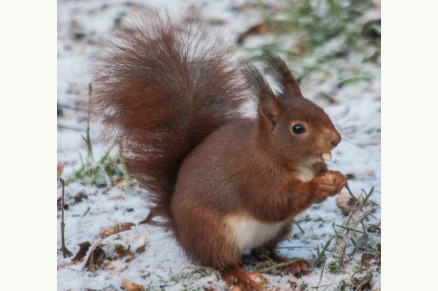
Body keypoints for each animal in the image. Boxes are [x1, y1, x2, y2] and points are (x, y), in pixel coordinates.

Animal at [91, 12, 346, 291]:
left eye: (320, 109)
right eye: (298, 128)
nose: (335, 139)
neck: (288, 160)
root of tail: (181, 231)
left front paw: (337, 179)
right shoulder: (254, 176)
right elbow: (272, 202)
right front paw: (318, 186)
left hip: (277, 230)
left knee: (265, 252)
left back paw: (288, 263)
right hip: (211, 233)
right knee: (223, 263)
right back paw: (243, 277)